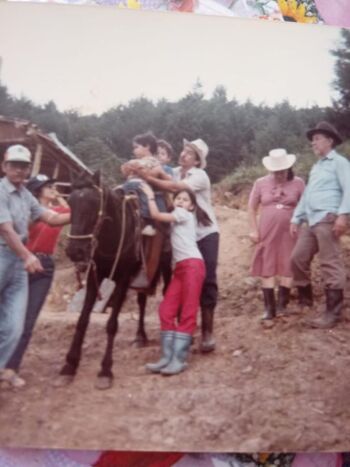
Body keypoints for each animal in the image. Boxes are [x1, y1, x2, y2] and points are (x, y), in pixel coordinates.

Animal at [56, 173, 169, 392]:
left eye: (94, 204)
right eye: (70, 202)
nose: (75, 251)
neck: (112, 236)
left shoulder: (123, 279)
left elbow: (111, 324)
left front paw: (105, 371)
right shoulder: (95, 276)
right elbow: (82, 320)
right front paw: (69, 366)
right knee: (142, 302)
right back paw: (140, 336)